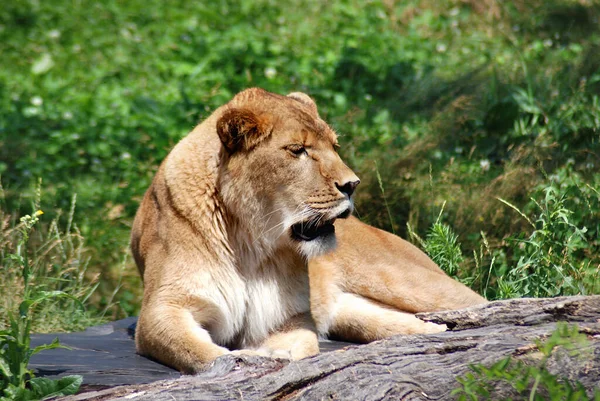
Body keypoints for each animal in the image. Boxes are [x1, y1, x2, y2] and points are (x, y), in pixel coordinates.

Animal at [129, 86, 486, 372]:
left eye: (335, 147)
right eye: (298, 150)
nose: (352, 184)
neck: (249, 243)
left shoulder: (289, 315)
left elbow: (303, 346)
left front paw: (278, 356)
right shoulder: (163, 308)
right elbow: (202, 352)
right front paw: (252, 359)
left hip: (406, 282)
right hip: (354, 313)